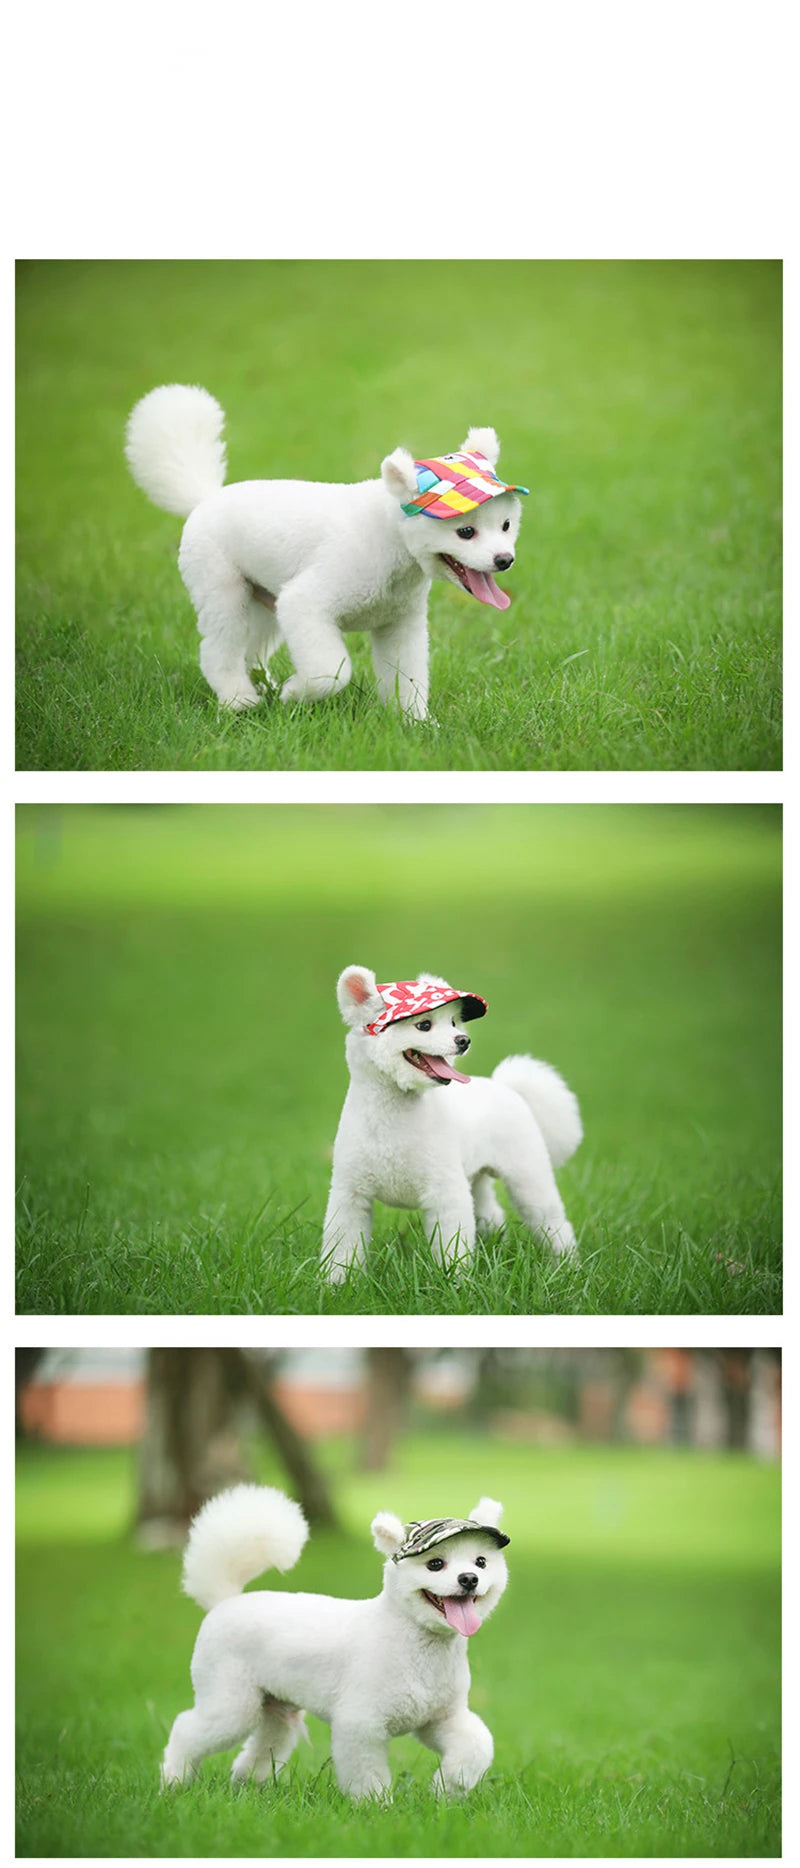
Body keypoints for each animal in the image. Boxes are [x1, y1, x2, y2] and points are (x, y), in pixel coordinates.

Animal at [123, 382, 523, 717]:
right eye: (466, 532)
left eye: (506, 526)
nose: (504, 560)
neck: (390, 539)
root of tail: (206, 498)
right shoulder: (306, 604)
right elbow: (332, 672)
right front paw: (294, 693)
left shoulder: (399, 623)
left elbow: (406, 679)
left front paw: (415, 725)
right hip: (222, 589)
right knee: (219, 649)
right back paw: (240, 700)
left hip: (264, 603)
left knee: (252, 649)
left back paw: (263, 687)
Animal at [162, 1479, 508, 1800]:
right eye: (435, 1564)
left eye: (481, 1562)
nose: (469, 1579)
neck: (414, 1643)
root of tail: (225, 1600)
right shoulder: (360, 1724)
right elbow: (367, 1775)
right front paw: (378, 1807)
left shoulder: (440, 1718)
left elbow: (477, 1744)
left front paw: (448, 1788)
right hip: (230, 1702)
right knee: (185, 1729)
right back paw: (173, 1781)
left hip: (275, 1708)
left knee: (263, 1745)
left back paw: (249, 1788)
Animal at [323, 963, 579, 1285]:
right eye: (424, 1025)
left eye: (455, 1023)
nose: (463, 1041)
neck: (393, 1118)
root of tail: (506, 1086)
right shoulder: (350, 1194)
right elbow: (342, 1246)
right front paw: (337, 1284)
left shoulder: (444, 1191)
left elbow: (452, 1246)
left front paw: (454, 1282)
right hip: (476, 1178)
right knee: (491, 1214)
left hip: (527, 1174)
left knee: (552, 1221)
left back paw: (567, 1265)